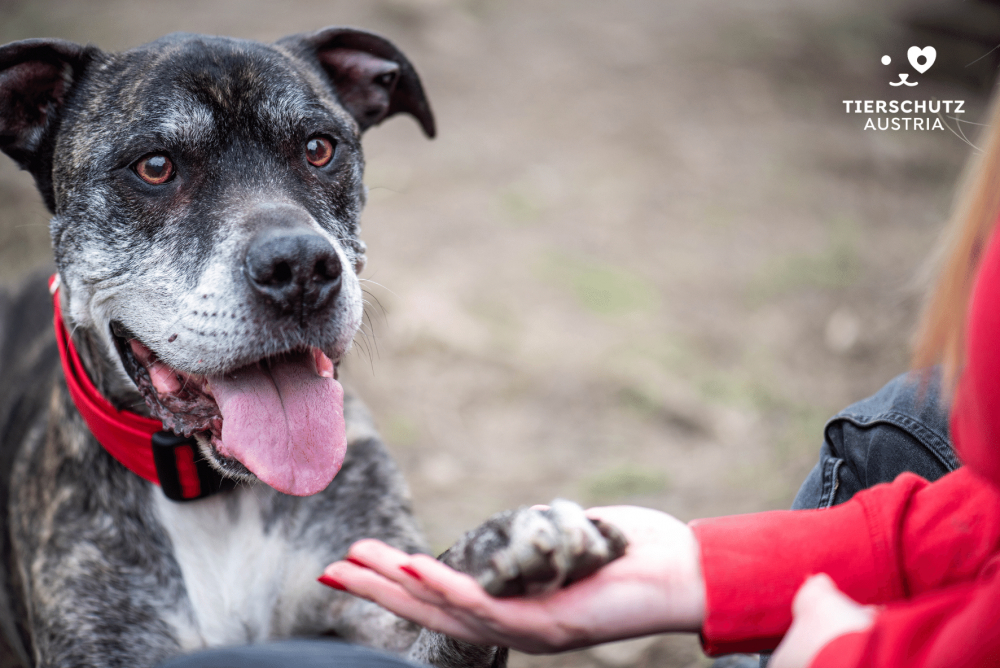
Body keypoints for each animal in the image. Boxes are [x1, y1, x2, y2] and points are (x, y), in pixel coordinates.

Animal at [0, 27, 624, 668]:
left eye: (320, 148)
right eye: (154, 166)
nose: (299, 266)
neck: (221, 499)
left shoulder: (381, 615)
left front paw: (500, 541)